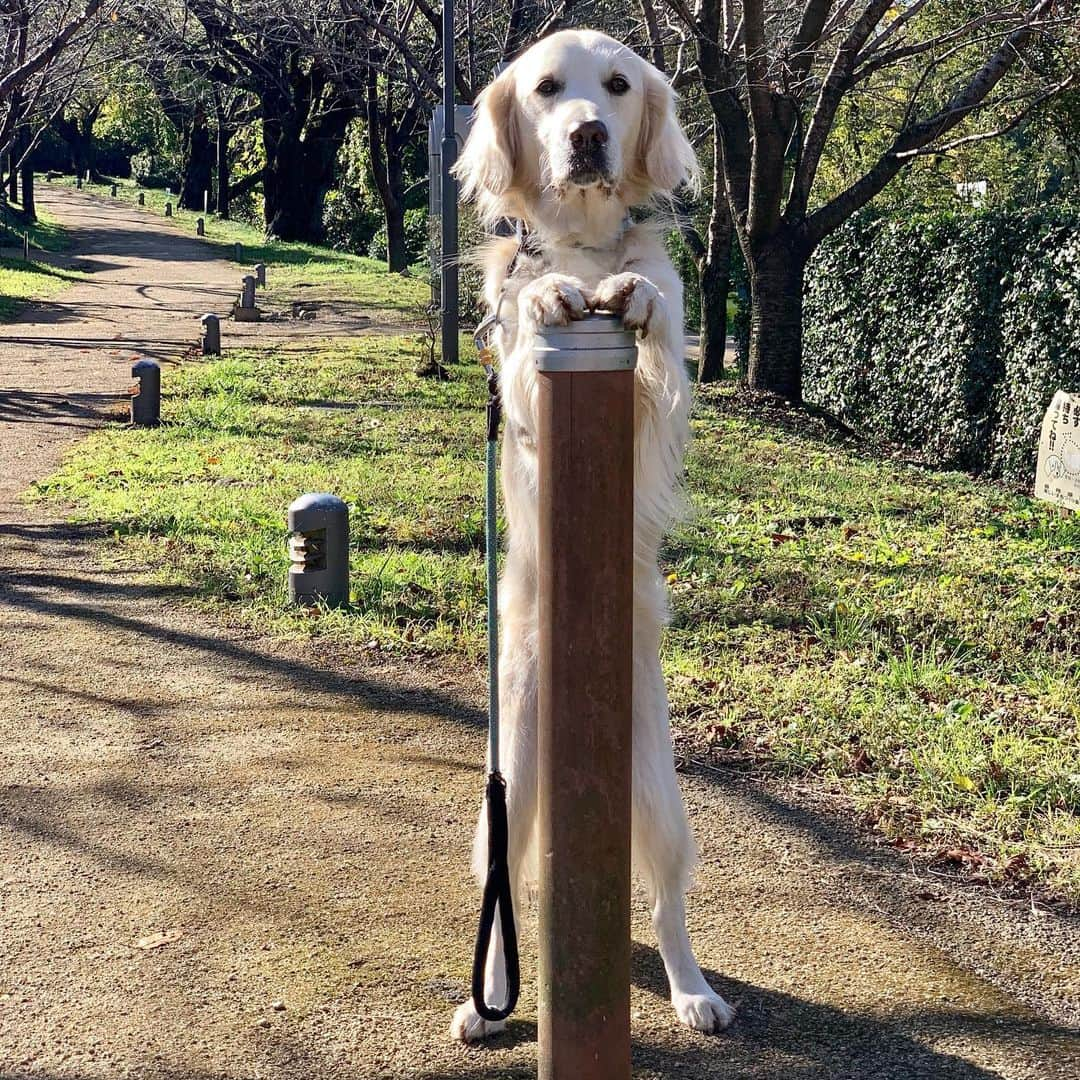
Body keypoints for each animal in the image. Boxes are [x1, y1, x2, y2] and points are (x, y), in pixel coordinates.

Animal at [447, 27, 734, 1036]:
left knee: (667, 902)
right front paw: (547, 302)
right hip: (504, 798)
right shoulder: (523, 381)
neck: (578, 248)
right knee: (502, 896)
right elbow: (532, 336)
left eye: (615, 86)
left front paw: (633, 297)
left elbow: (655, 317)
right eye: (546, 89)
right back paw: (486, 1002)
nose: (586, 135)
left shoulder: (664, 385)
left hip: (662, 802)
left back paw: (693, 991)